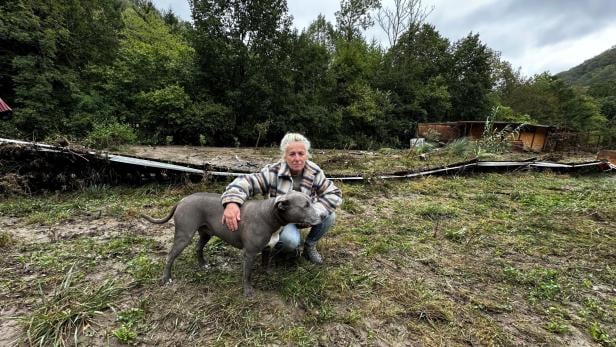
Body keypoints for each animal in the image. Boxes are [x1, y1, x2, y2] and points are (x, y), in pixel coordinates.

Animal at [142, 190, 324, 296]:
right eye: (305, 205)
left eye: (311, 201)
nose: (321, 217)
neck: (270, 215)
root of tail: (182, 200)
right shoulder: (249, 253)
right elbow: (247, 274)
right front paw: (248, 291)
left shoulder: (267, 249)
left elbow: (266, 264)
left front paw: (268, 274)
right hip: (184, 236)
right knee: (170, 256)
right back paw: (166, 278)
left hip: (205, 234)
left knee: (198, 248)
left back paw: (203, 264)